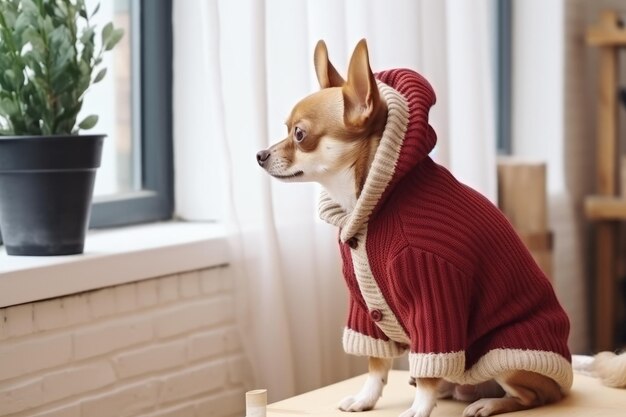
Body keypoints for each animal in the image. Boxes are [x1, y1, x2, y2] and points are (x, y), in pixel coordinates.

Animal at [255, 38, 620, 412]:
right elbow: (376, 365)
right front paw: (366, 398)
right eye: (285, 130)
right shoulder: (365, 309)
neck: (374, 197)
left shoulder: (435, 297)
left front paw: (419, 408)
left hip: (508, 358)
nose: (260, 154)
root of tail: (564, 380)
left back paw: (488, 403)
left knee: (531, 397)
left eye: (300, 135)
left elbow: (428, 363)